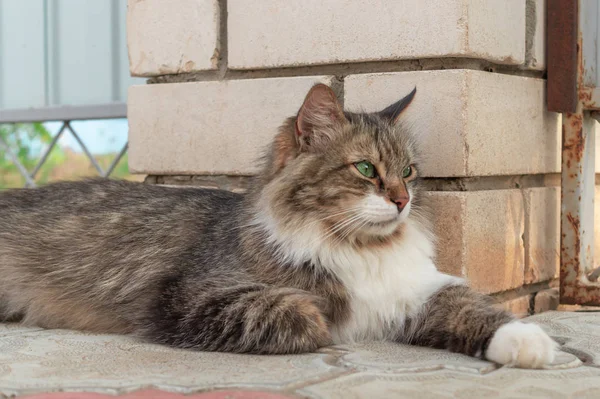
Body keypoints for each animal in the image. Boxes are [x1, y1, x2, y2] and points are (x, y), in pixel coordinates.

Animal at [0, 83, 556, 368]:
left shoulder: (418, 289)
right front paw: (328, 320)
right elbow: (303, 315)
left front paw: (526, 343)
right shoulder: (188, 295)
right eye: (366, 169)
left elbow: (478, 310)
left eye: (410, 172)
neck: (358, 249)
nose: (402, 201)